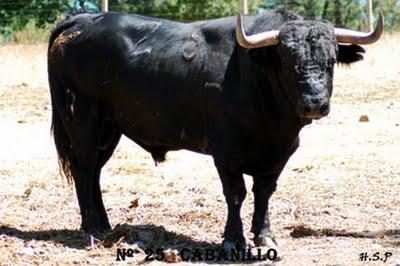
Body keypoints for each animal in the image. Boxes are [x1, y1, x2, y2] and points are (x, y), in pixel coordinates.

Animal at [47, 8, 382, 249]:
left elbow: (264, 192)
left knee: (94, 172)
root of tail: (83, 20)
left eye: (331, 60)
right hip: (82, 122)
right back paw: (92, 227)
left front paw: (264, 235)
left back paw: (103, 223)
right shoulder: (226, 153)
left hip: (109, 130)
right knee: (84, 171)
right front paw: (233, 239)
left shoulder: (280, 154)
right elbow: (236, 194)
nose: (315, 103)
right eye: (287, 61)